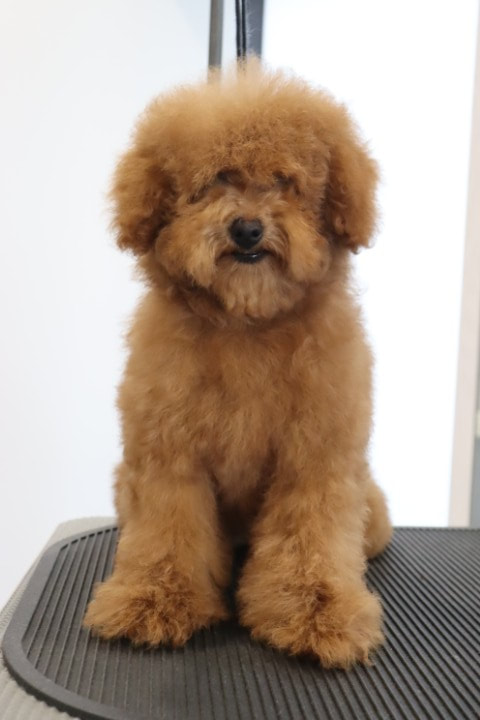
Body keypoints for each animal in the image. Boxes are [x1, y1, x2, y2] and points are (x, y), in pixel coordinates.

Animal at [84, 61, 392, 668]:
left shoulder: (313, 461)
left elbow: (309, 540)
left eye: (284, 181)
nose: (247, 228)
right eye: (215, 181)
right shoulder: (169, 457)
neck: (248, 324)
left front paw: (317, 611)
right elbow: (167, 534)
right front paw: (153, 600)